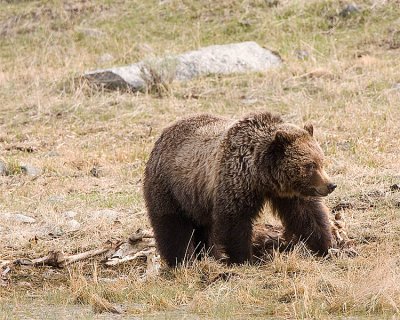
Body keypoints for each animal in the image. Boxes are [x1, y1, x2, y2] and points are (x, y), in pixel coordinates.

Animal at [142, 111, 336, 266]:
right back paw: (182, 261)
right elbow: (235, 222)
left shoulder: (289, 194)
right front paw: (244, 259)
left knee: (204, 228)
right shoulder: (234, 180)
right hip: (170, 188)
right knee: (172, 227)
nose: (330, 185)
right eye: (309, 165)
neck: (260, 175)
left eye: (321, 161)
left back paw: (209, 255)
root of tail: (162, 135)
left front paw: (326, 247)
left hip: (197, 199)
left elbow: (307, 215)